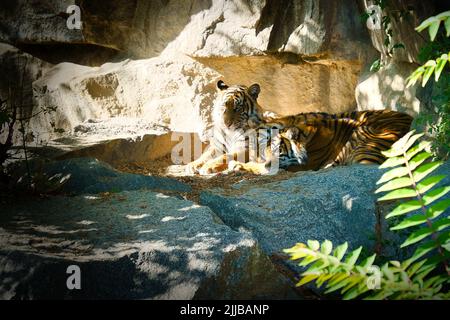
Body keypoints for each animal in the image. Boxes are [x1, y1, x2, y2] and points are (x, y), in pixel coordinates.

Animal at [185, 80, 412, 175]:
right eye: (224, 106)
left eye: (239, 108)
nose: (227, 123)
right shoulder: (219, 145)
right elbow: (207, 154)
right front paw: (192, 165)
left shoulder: (247, 147)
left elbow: (227, 156)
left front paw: (210, 167)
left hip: (363, 138)